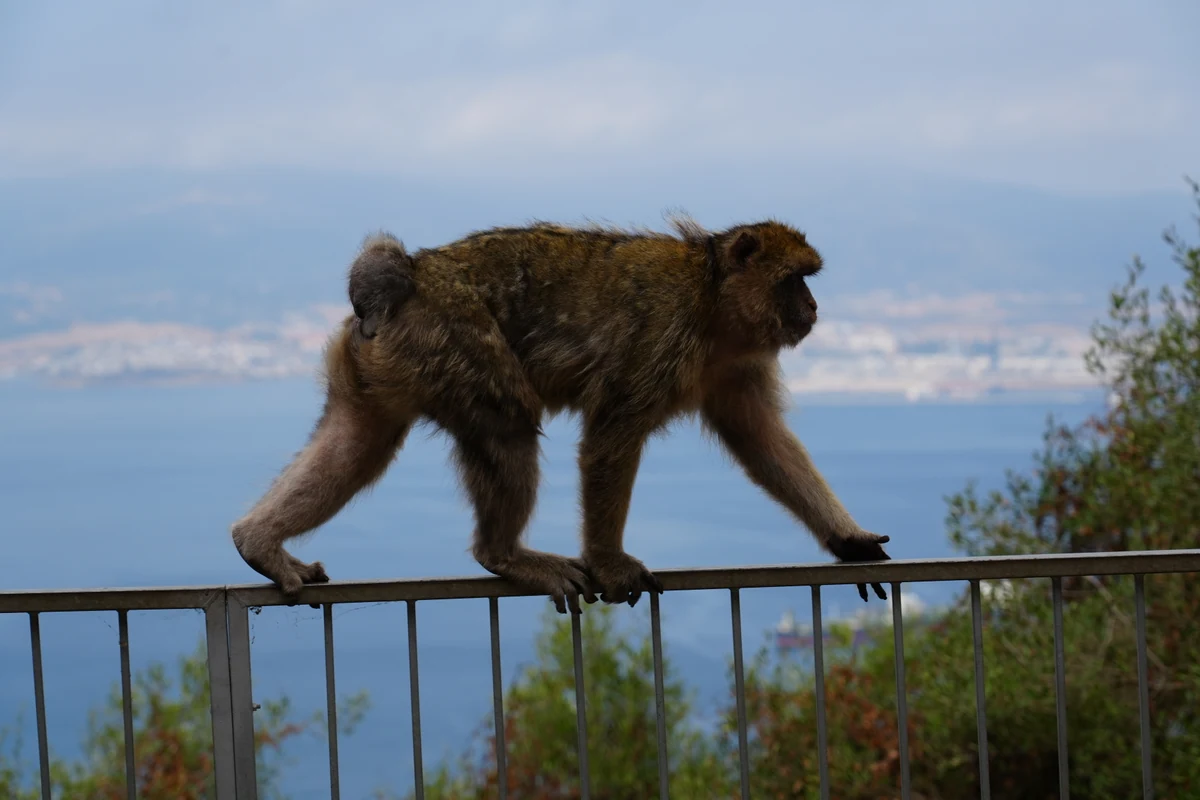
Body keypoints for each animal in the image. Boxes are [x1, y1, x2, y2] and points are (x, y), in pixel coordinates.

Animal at [230, 216, 892, 613]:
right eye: (794, 279)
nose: (814, 306)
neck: (712, 304)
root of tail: (406, 277)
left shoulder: (737, 366)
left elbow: (762, 440)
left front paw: (848, 538)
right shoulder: (661, 339)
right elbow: (610, 439)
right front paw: (611, 564)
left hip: (382, 360)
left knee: (357, 441)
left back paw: (258, 541)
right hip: (452, 343)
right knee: (507, 423)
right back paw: (503, 554)